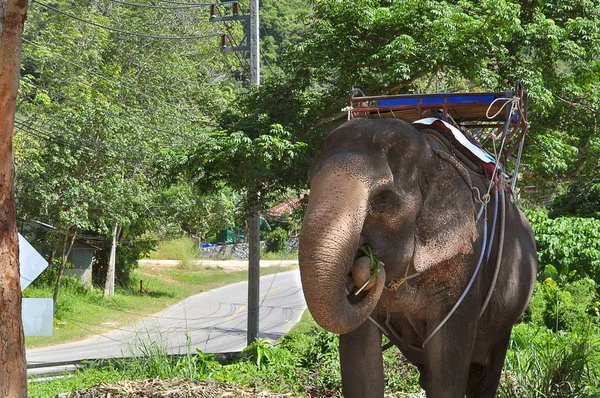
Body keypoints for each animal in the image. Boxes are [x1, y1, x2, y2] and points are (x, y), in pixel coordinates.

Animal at [298, 117, 536, 398]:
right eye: (309, 183)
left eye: (383, 198)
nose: (367, 266)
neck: (431, 156)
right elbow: (359, 361)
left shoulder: (467, 266)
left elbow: (446, 369)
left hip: (507, 315)